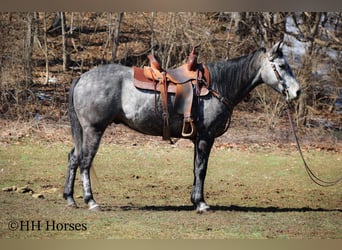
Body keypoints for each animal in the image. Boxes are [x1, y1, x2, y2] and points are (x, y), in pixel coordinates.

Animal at [63, 41, 300, 211]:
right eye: (281, 66)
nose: (297, 92)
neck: (216, 85)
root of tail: (82, 78)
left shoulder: (198, 139)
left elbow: (196, 169)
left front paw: (195, 200)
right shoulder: (206, 137)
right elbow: (202, 169)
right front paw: (201, 203)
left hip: (84, 131)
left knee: (74, 158)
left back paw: (69, 198)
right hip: (94, 130)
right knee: (85, 161)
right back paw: (90, 201)